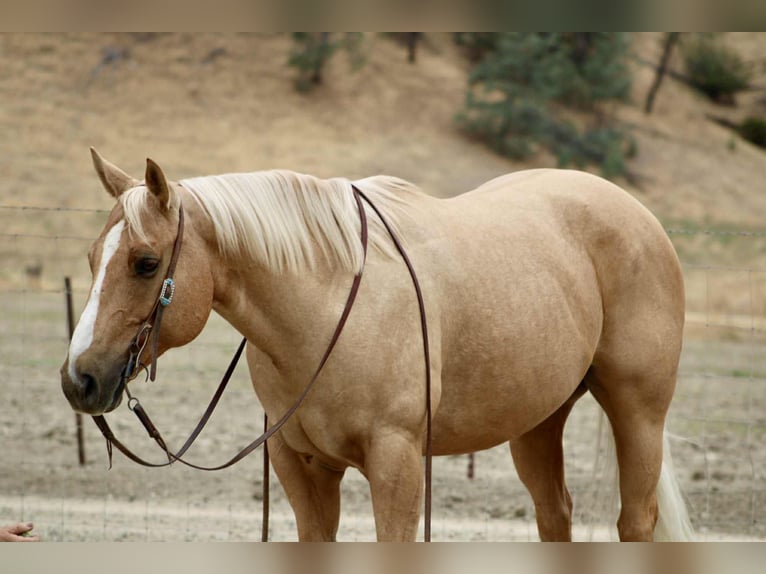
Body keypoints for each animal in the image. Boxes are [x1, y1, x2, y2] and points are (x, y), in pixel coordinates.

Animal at [60, 149, 693, 541]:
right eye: (91, 257)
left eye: (145, 263)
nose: (79, 379)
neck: (327, 303)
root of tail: (638, 214)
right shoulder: (301, 466)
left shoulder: (398, 463)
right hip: (537, 422)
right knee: (554, 514)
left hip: (638, 412)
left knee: (635, 521)